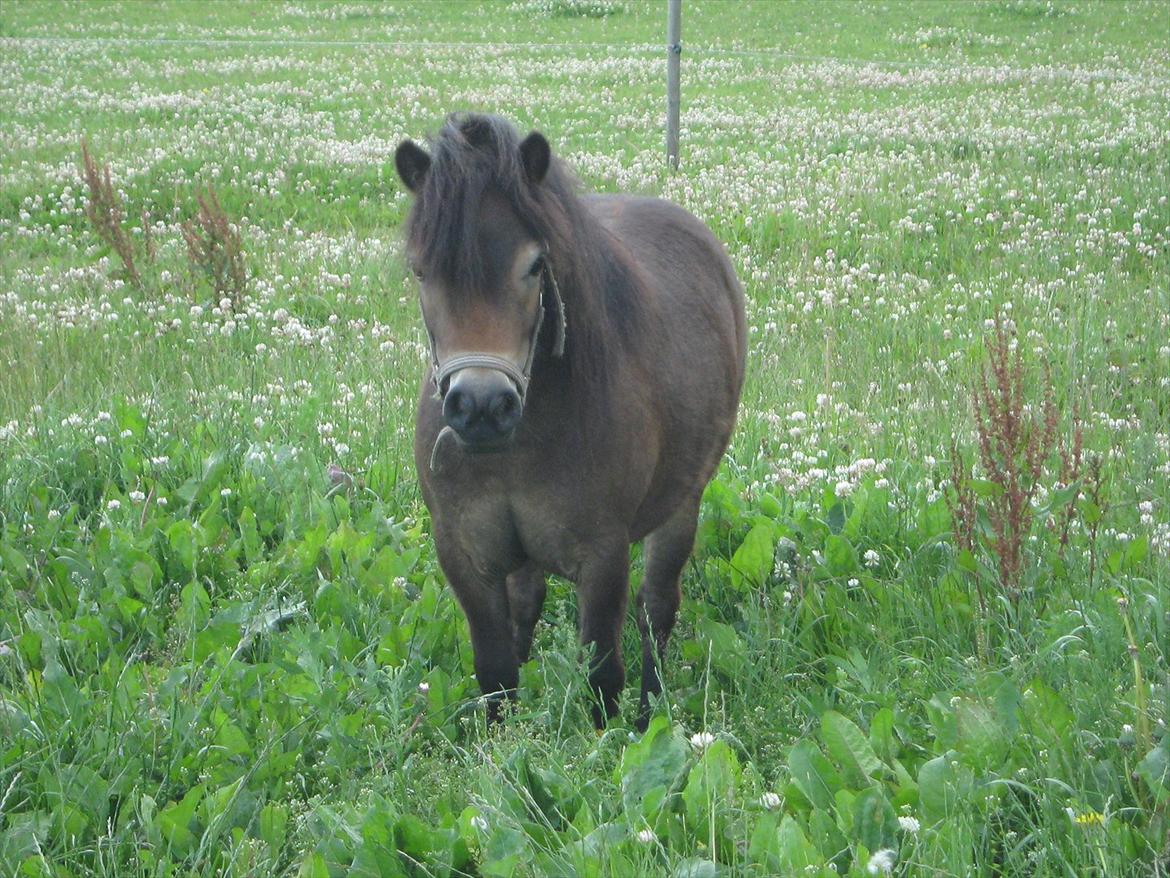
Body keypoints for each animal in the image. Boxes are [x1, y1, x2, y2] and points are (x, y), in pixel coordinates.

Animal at [390, 113, 739, 730]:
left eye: (534, 265)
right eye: (421, 270)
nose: (481, 406)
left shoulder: (602, 556)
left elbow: (602, 677)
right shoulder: (465, 555)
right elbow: (496, 673)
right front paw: (502, 745)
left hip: (683, 501)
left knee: (657, 609)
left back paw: (650, 712)